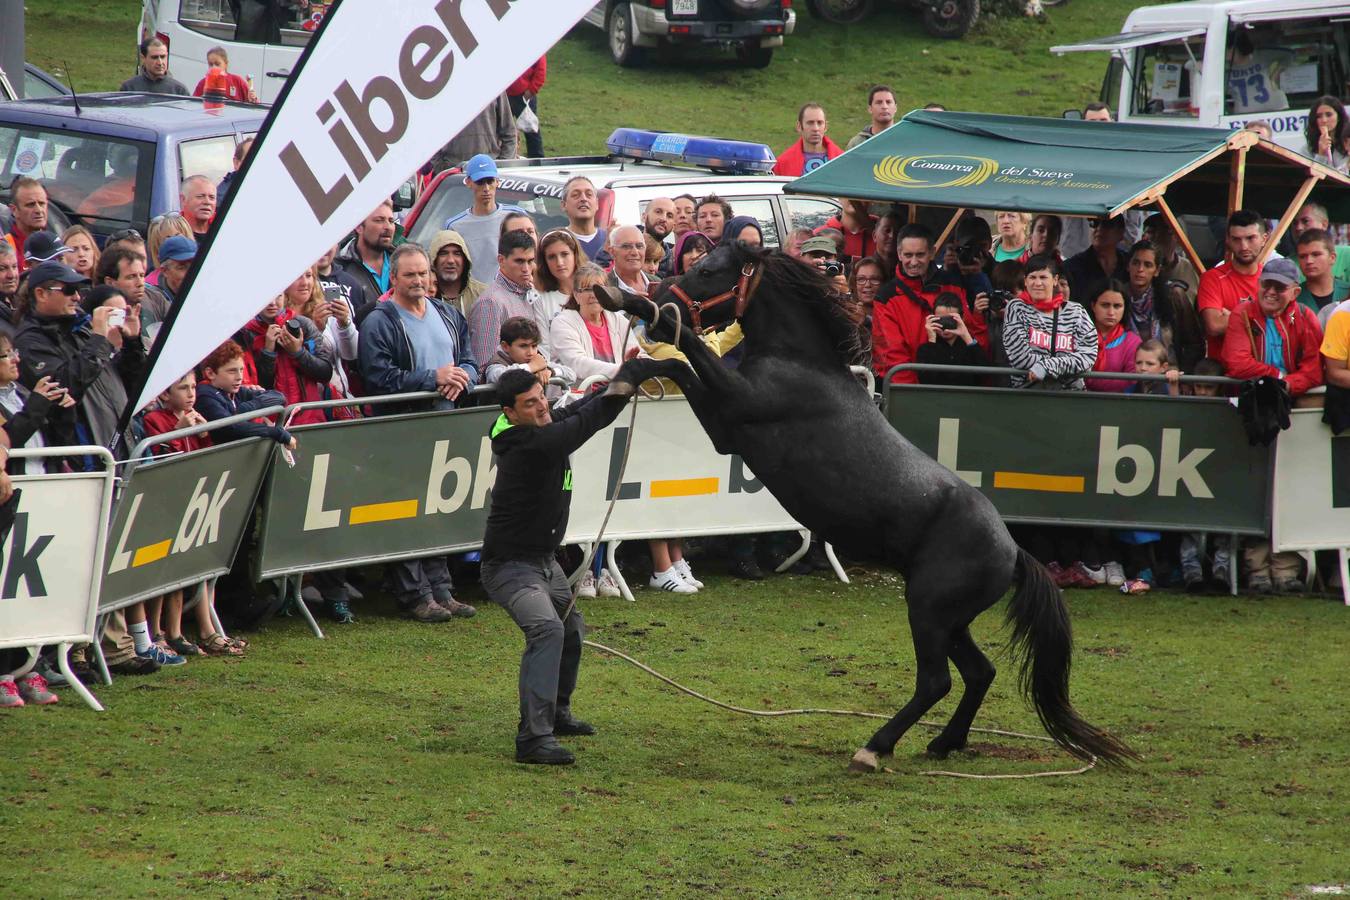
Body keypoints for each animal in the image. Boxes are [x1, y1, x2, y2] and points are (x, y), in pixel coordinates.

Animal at [596, 241, 1134, 777]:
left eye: (708, 270)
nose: (662, 303)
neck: (799, 362)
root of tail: (1014, 550)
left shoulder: (730, 414)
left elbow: (688, 357)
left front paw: (625, 315)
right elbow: (678, 365)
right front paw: (625, 369)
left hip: (930, 611)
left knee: (937, 681)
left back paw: (875, 748)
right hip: (949, 619)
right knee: (980, 672)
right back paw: (944, 743)